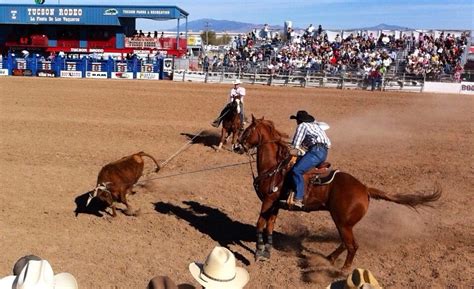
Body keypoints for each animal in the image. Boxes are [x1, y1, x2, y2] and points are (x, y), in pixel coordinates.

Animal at [239, 115, 442, 270]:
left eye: (247, 131)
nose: (237, 146)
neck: (275, 167)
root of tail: (364, 188)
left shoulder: (268, 201)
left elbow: (260, 224)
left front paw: (258, 253)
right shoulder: (274, 205)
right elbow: (269, 226)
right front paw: (266, 252)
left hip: (343, 222)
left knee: (352, 245)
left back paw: (343, 269)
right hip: (343, 223)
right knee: (346, 243)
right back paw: (330, 258)